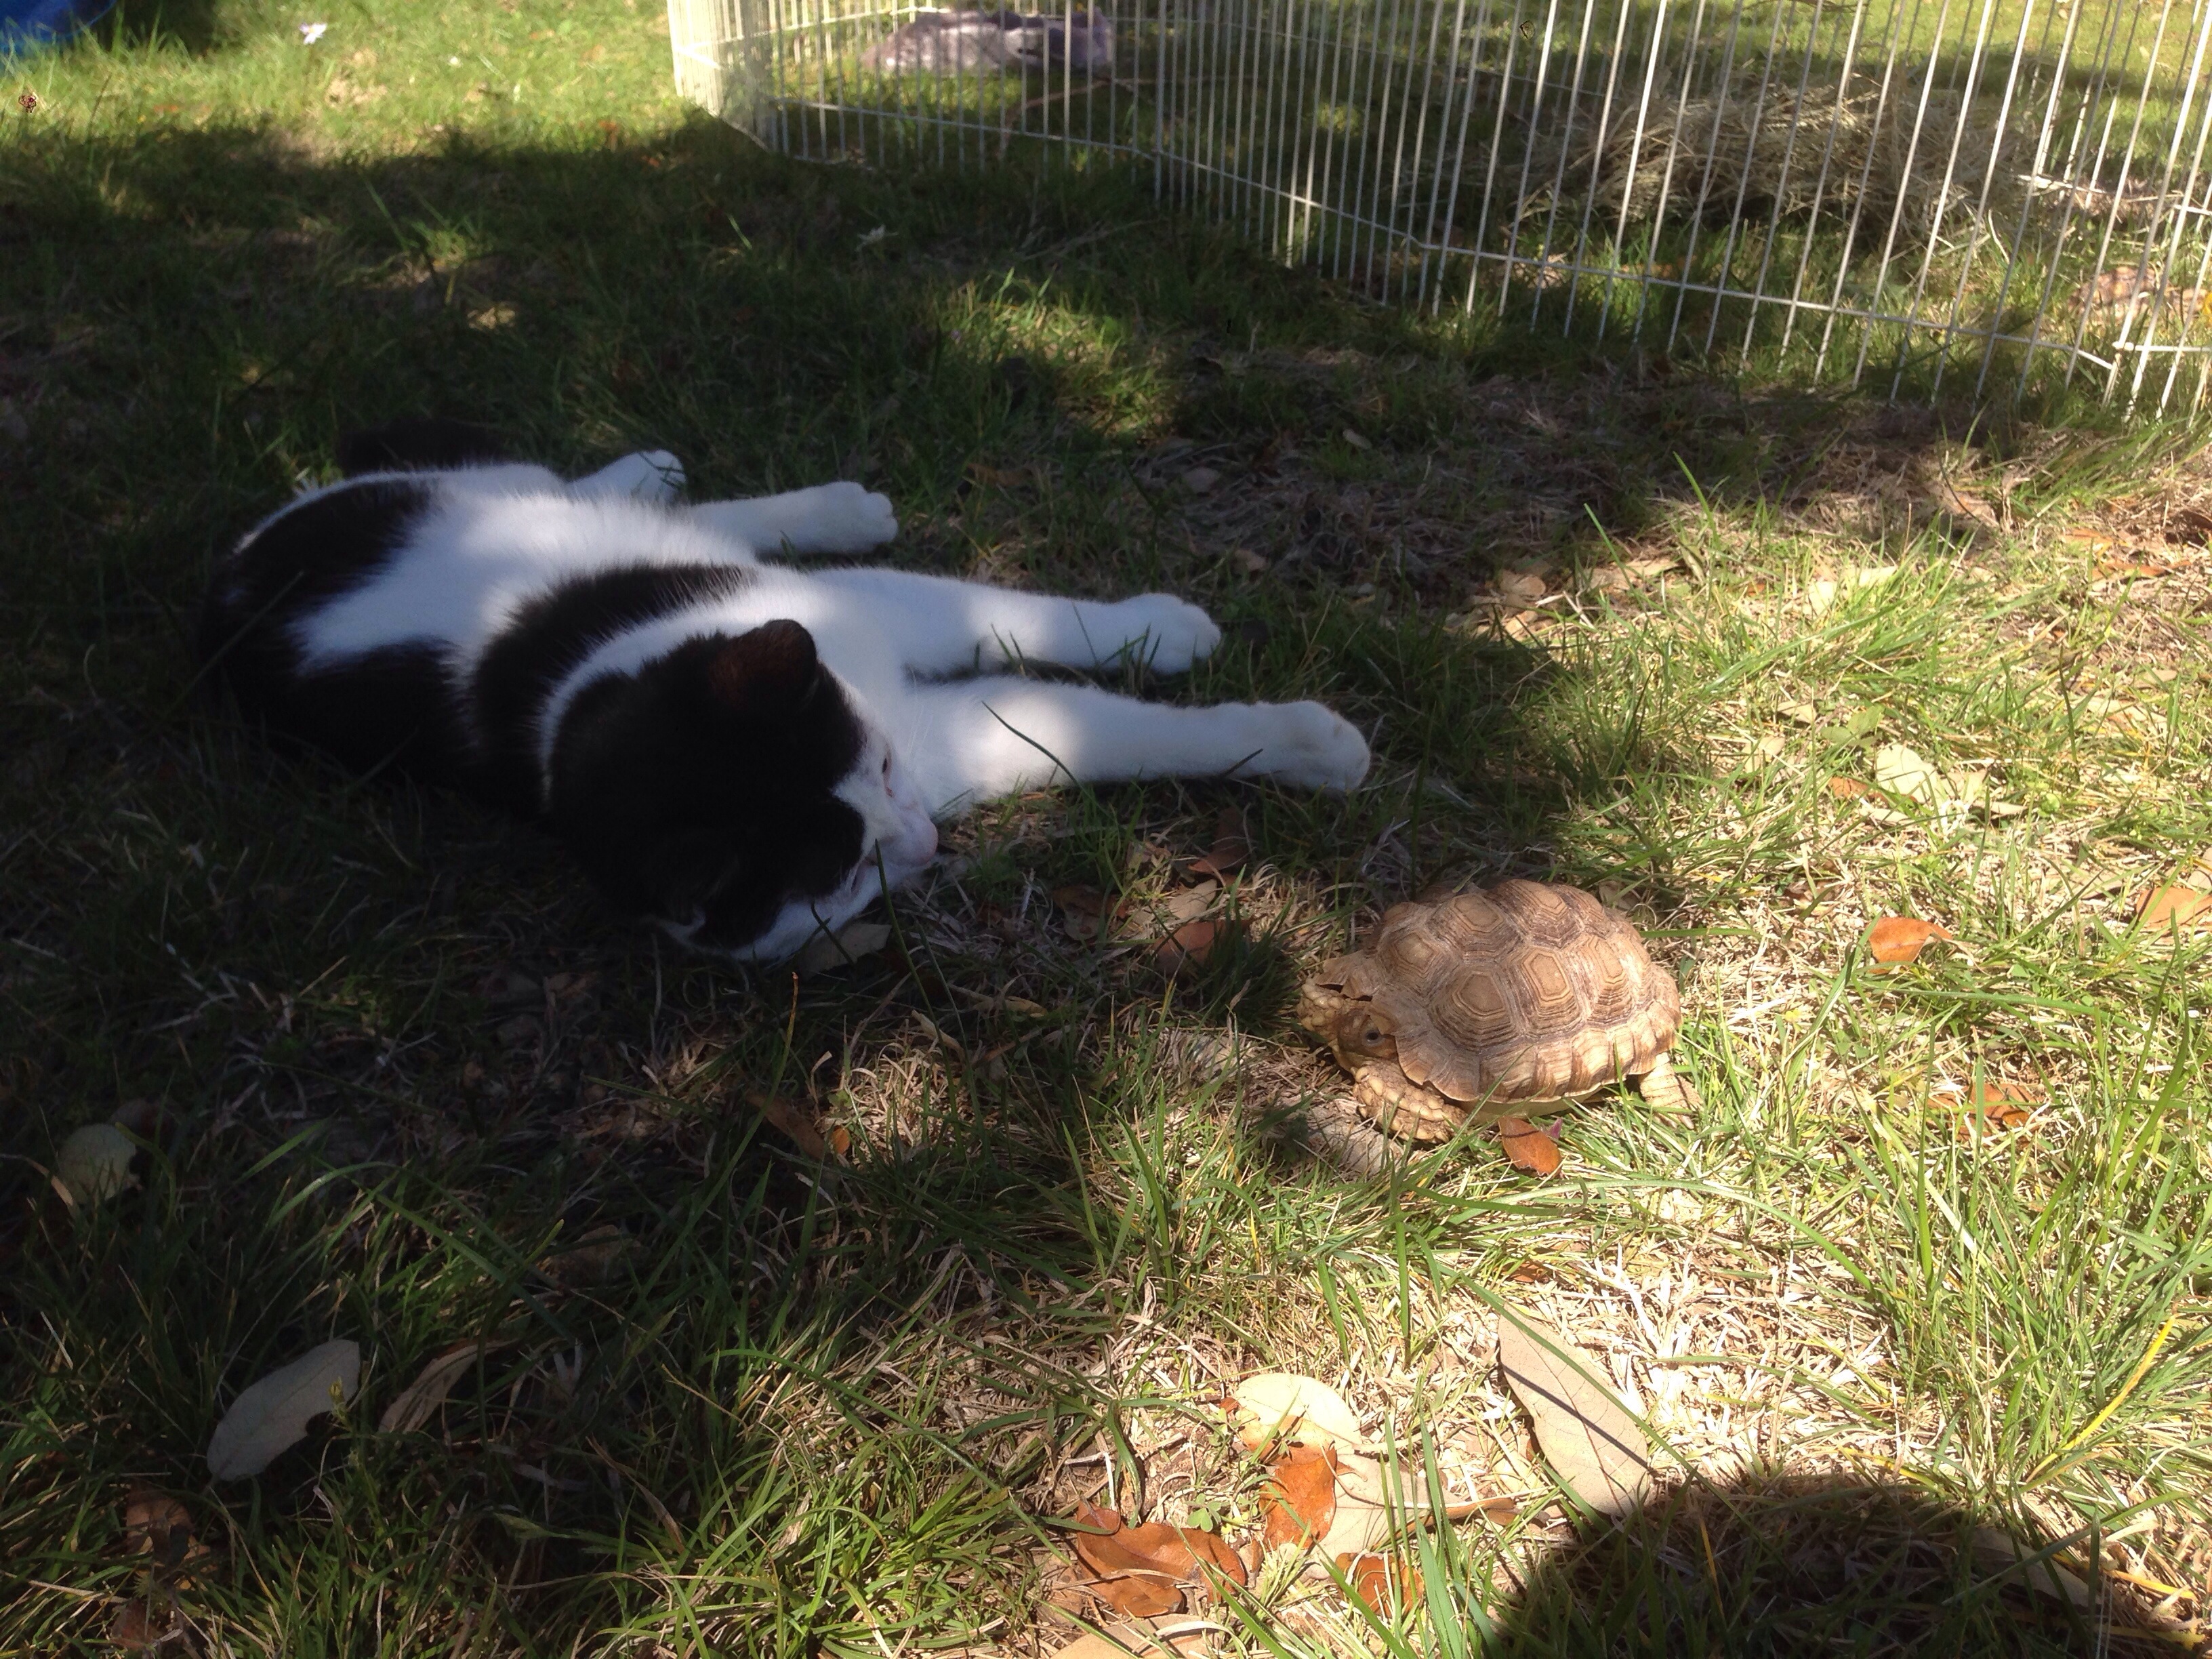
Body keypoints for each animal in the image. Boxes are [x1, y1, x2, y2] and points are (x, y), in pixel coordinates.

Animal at [198, 419, 1371, 962]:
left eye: (884, 771)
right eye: (843, 880)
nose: (926, 842)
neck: (591, 691)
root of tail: (235, 575)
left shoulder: (881, 623)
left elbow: (1023, 615)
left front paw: (1174, 639)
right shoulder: (945, 733)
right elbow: (1097, 732)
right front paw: (1290, 741)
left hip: (477, 490)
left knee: (577, 486)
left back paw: (698, 483)